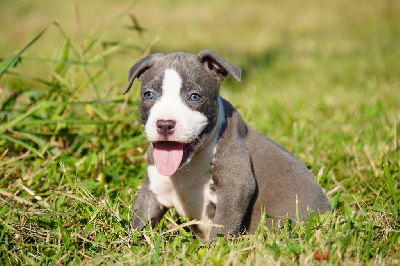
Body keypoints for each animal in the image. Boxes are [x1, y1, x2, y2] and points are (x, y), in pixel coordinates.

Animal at [125, 50, 332, 243]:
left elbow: (223, 227)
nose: (165, 124)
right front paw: (128, 242)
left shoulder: (235, 186)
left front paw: (213, 250)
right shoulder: (153, 190)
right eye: (148, 94)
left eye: (194, 97)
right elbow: (138, 221)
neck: (189, 165)